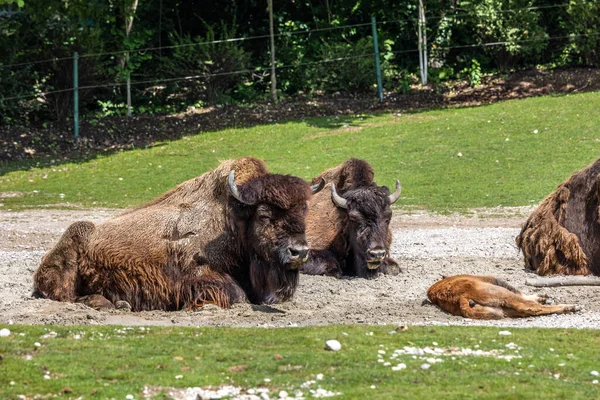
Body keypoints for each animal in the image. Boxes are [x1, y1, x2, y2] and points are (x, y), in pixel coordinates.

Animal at [32, 158, 324, 310]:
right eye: (264, 216)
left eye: (304, 212)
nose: (299, 252)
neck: (232, 218)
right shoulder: (195, 276)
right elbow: (235, 294)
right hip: (73, 241)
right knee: (64, 295)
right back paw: (109, 304)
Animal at [426, 274, 580, 320]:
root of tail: (459, 297)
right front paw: (542, 297)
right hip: (502, 294)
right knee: (528, 307)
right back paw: (572, 307)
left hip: (502, 310)